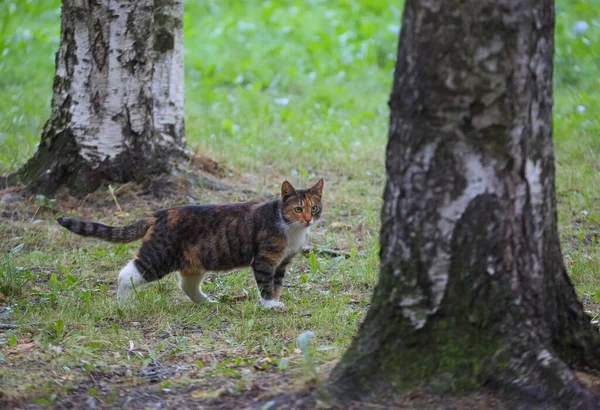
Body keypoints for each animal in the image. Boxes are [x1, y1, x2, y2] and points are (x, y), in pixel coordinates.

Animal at [57, 178, 324, 310]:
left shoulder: (282, 263)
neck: (290, 228)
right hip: (158, 257)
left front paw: (276, 301)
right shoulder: (265, 260)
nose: (308, 218)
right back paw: (124, 304)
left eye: (314, 208)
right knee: (127, 274)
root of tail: (160, 213)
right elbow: (266, 284)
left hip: (194, 260)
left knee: (187, 284)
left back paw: (206, 302)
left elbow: (277, 284)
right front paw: (269, 305)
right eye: (297, 209)